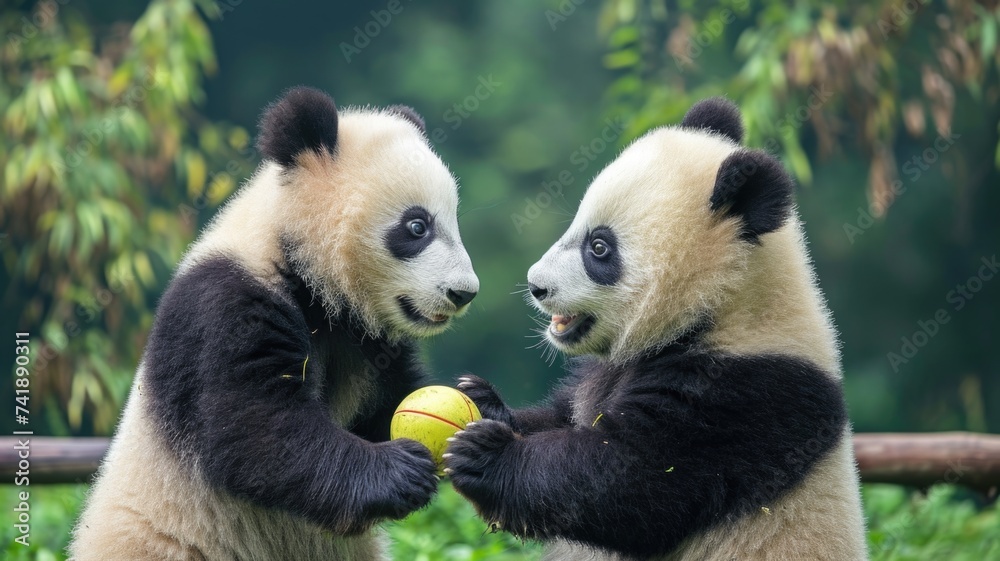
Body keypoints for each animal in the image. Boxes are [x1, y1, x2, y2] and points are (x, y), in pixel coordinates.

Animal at [70, 86, 479, 560]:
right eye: (417, 226)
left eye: (452, 219)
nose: (464, 292)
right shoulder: (225, 306)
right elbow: (255, 429)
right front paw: (400, 471)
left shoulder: (365, 336)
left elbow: (385, 404)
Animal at [444, 98, 868, 560]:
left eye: (599, 247)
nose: (537, 285)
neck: (723, 306)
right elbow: (561, 418)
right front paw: (479, 399)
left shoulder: (744, 395)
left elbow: (631, 480)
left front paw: (485, 453)